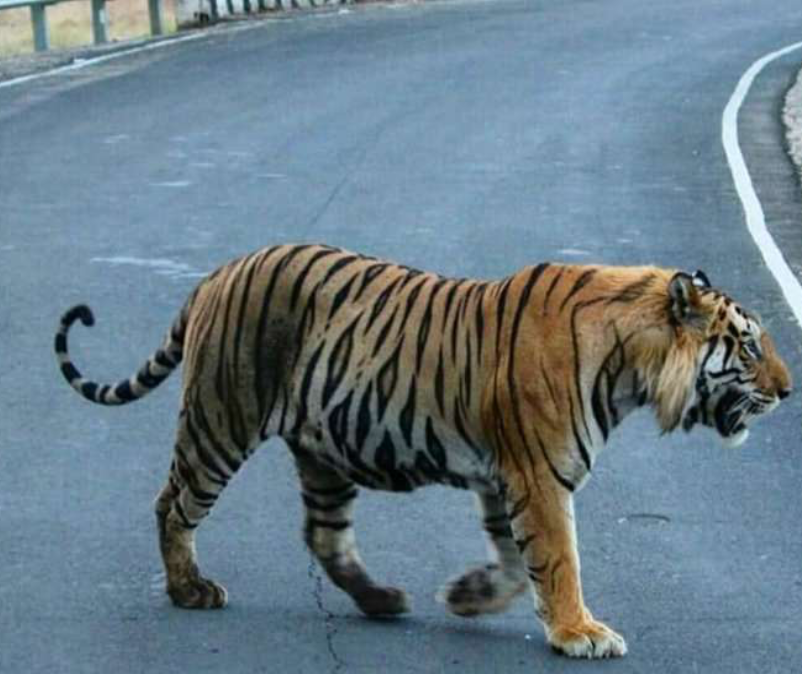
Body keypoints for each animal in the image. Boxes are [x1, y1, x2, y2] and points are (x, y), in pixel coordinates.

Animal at [54, 243, 788, 656]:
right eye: (750, 345)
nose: (787, 389)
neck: (632, 366)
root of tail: (218, 271)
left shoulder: (505, 476)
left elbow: (517, 563)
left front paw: (467, 597)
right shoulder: (537, 474)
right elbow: (558, 559)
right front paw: (580, 633)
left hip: (323, 450)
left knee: (324, 536)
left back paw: (382, 599)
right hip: (220, 417)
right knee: (173, 503)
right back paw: (189, 589)